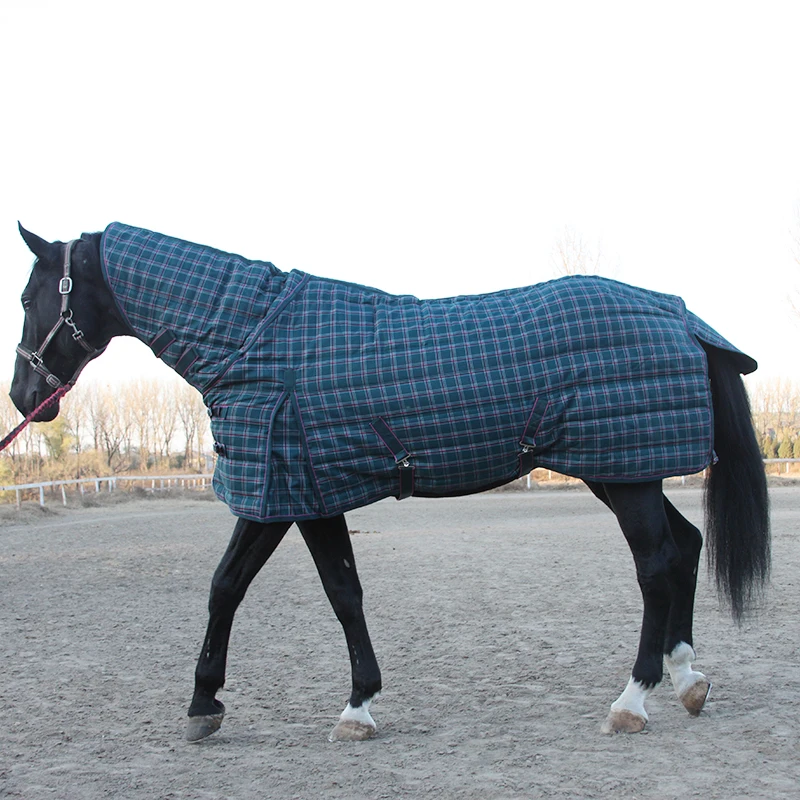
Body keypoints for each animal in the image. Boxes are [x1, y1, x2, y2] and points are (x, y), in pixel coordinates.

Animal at [9, 223, 769, 742]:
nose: (24, 397)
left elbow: (330, 593)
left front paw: (354, 707)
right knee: (686, 546)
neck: (254, 339)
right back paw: (687, 678)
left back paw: (632, 699)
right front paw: (206, 706)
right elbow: (235, 585)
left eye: (26, 295)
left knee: (657, 564)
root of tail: (675, 313)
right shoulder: (287, 490)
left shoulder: (292, 490)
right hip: (624, 468)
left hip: (624, 471)